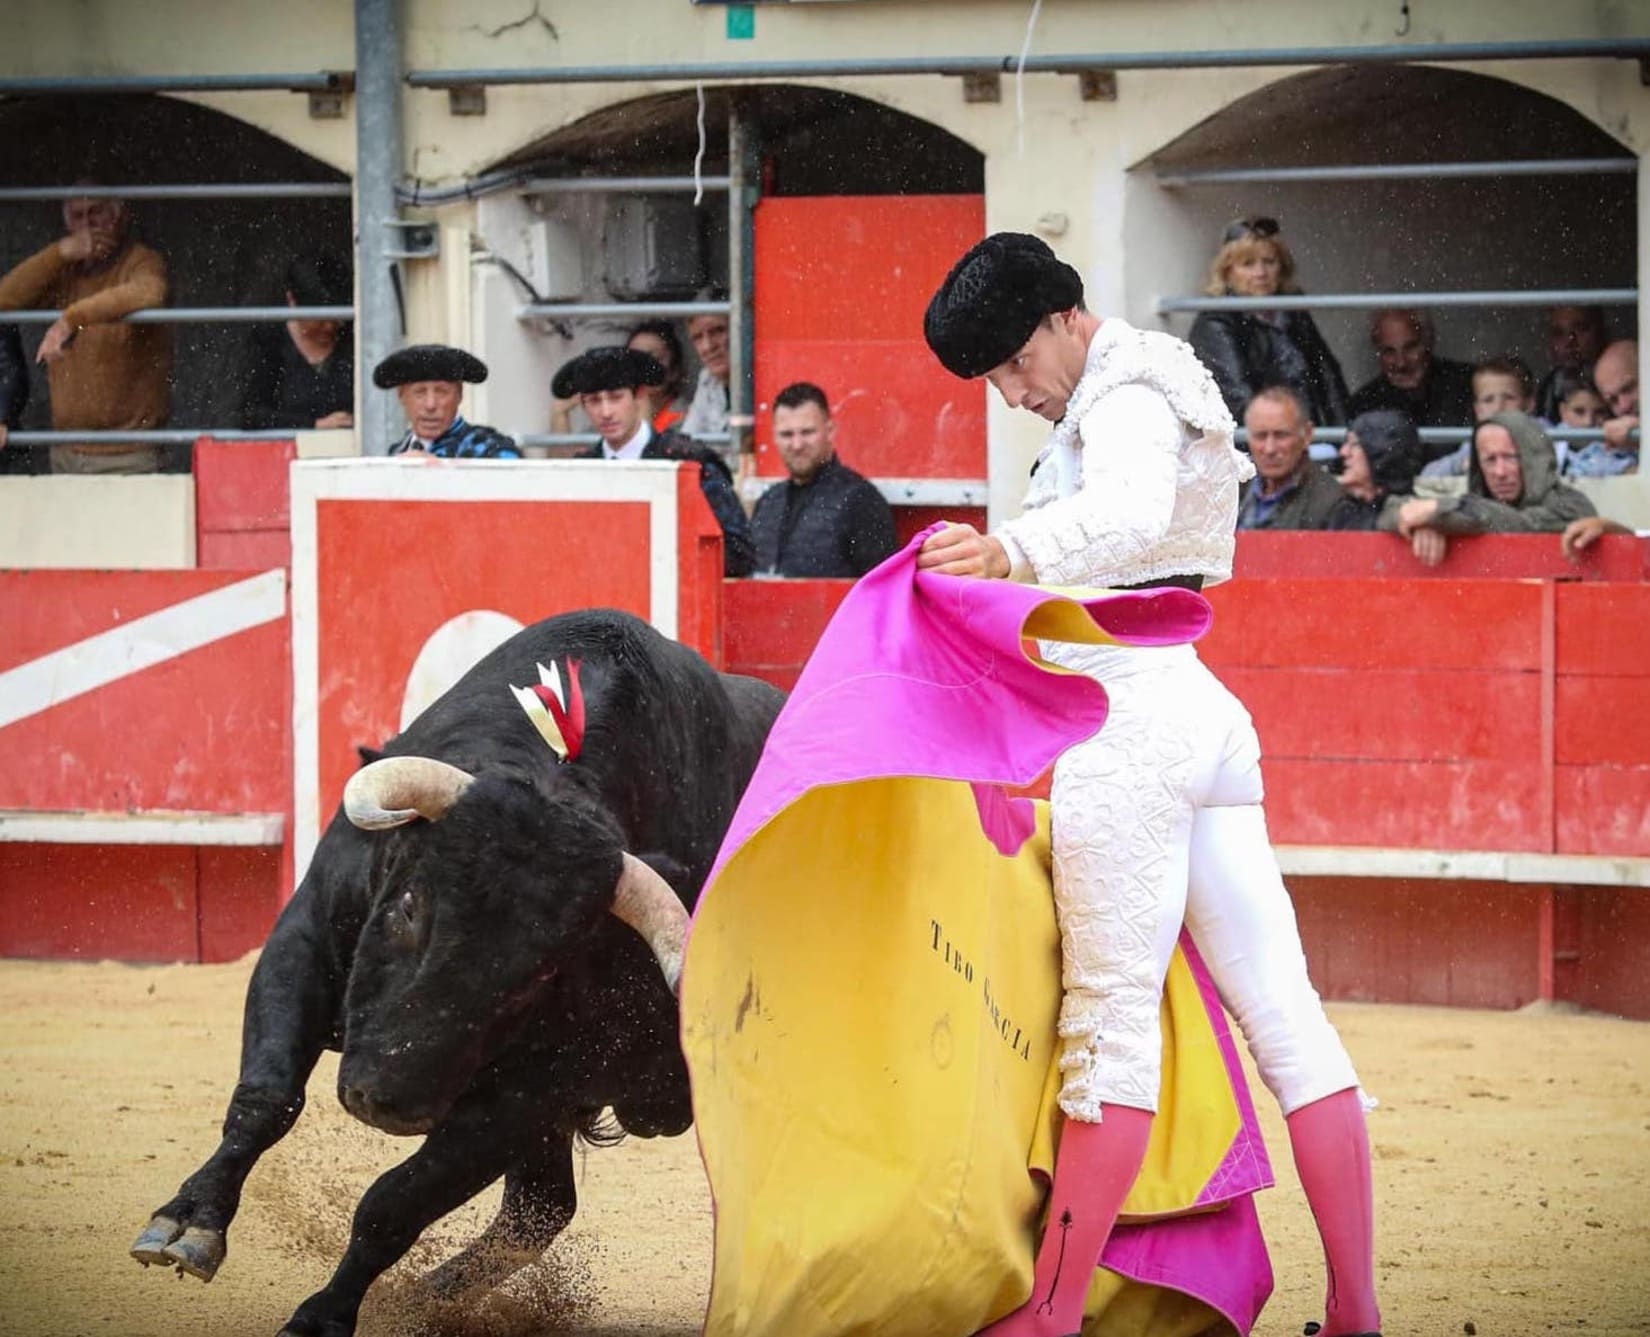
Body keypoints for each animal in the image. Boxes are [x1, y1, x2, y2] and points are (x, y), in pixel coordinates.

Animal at [128, 610, 785, 1333]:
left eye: (542, 973)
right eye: (410, 906)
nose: (386, 1099)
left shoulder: (534, 1092)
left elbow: (397, 1201)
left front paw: (323, 1314)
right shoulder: (303, 945)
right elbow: (266, 1099)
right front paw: (187, 1223)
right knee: (542, 1205)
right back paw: (432, 1293)